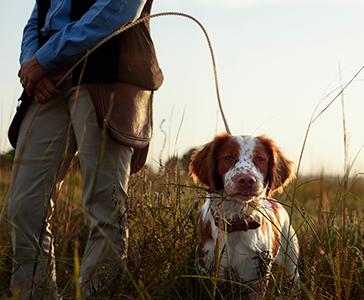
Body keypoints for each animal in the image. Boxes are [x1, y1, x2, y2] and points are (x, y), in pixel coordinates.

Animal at [189, 135, 300, 298]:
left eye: (260, 158)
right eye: (228, 157)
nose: (247, 179)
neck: (236, 221)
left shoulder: (256, 278)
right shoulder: (209, 273)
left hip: (291, 262)